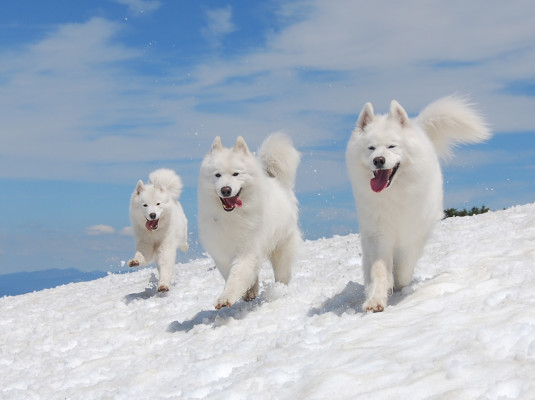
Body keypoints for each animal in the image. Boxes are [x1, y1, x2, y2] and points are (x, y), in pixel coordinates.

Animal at [199, 134, 304, 310]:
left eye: (236, 174)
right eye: (217, 175)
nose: (225, 190)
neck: (232, 216)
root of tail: (278, 182)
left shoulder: (247, 250)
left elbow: (237, 277)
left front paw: (225, 298)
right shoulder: (221, 253)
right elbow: (233, 275)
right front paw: (247, 291)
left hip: (282, 247)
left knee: (282, 273)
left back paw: (280, 289)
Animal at [346, 96, 492, 312]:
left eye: (392, 146)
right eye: (371, 148)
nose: (378, 160)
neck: (394, 193)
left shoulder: (414, 233)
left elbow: (403, 268)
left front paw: (399, 284)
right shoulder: (379, 234)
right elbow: (379, 270)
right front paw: (376, 299)